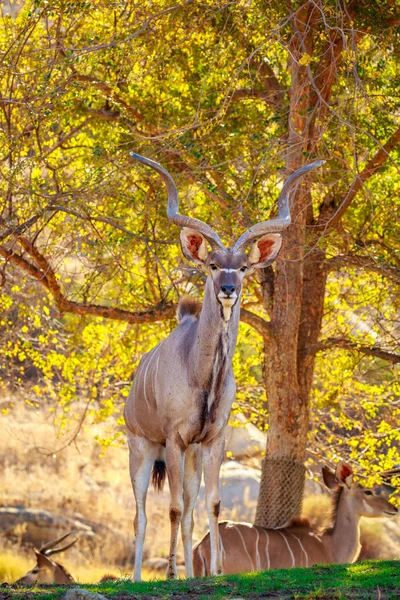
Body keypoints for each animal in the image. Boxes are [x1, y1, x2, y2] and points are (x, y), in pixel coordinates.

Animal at [123, 152, 324, 580]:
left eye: (244, 267)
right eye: (213, 265)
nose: (229, 289)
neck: (201, 375)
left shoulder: (212, 440)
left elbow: (210, 504)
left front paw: (214, 571)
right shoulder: (174, 439)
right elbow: (173, 508)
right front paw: (170, 574)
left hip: (189, 455)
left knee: (187, 509)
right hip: (141, 447)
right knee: (142, 512)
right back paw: (138, 577)